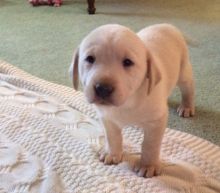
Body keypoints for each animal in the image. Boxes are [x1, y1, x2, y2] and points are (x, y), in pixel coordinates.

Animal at [69, 23, 195, 178]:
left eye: (128, 62)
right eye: (90, 59)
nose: (103, 88)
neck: (127, 102)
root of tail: (167, 25)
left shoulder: (157, 120)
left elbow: (150, 144)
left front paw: (148, 165)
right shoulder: (107, 118)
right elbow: (112, 137)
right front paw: (112, 153)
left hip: (183, 71)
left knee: (188, 88)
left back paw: (187, 106)